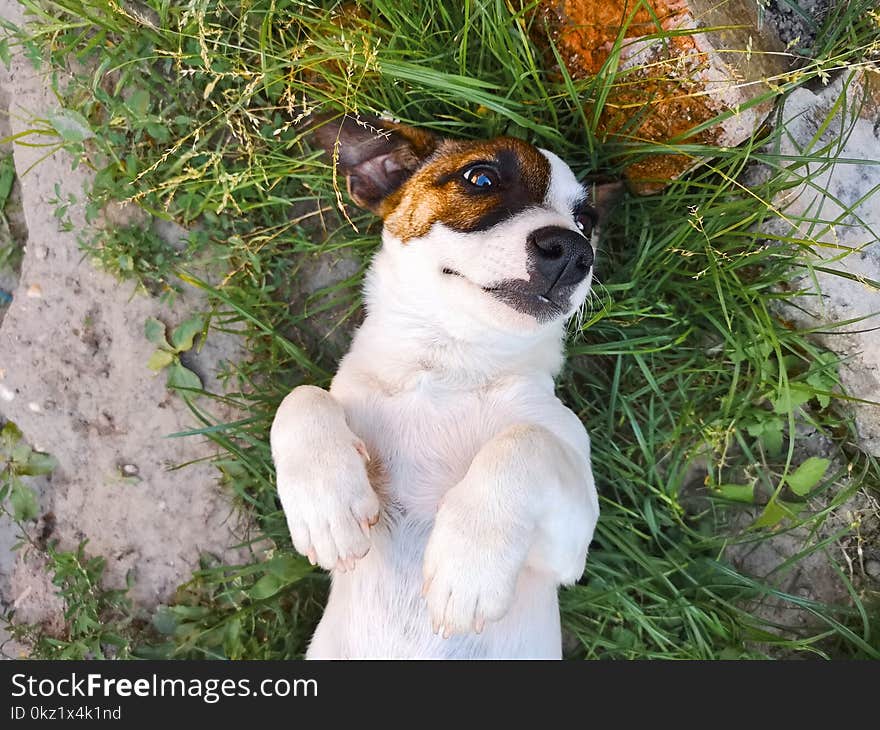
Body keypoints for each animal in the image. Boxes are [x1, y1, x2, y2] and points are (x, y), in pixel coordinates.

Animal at [268, 115, 620, 660]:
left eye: (586, 221)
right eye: (481, 178)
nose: (573, 252)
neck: (451, 365)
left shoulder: (569, 548)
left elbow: (525, 442)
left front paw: (468, 564)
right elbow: (300, 396)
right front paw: (327, 505)